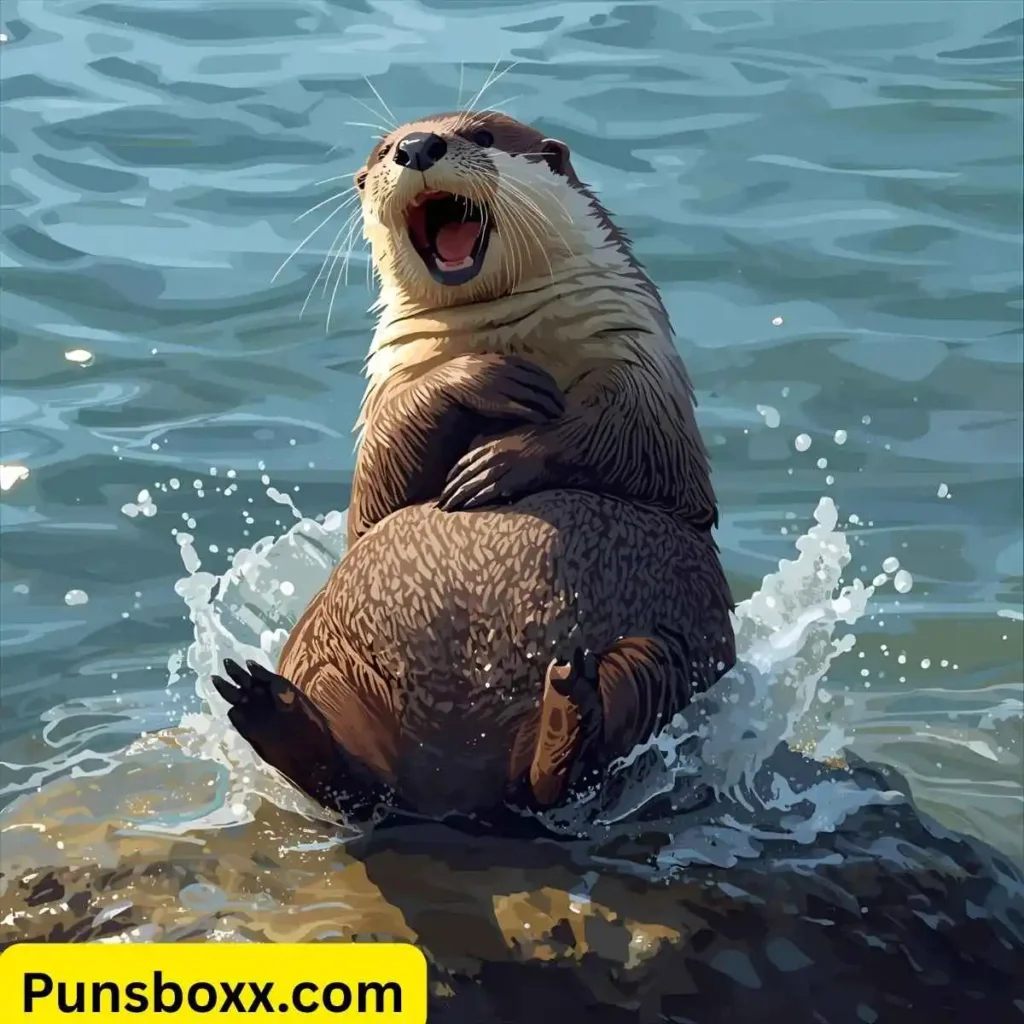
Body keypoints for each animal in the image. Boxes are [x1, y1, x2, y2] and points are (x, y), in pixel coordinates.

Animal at [213, 110, 736, 819]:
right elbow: (381, 479)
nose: (416, 146)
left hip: (668, 647)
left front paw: (496, 464)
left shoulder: (641, 364)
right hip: (326, 656)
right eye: (383, 149)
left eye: (482, 134)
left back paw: (570, 704)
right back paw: (271, 709)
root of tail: (454, 792)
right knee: (354, 784)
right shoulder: (388, 385)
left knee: (575, 759)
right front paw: (481, 378)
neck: (505, 331)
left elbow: (621, 437)